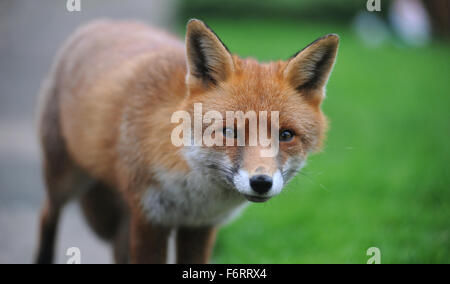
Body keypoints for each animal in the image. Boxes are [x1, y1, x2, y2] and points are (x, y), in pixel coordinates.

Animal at [35, 18, 338, 264]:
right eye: (229, 131)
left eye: (286, 135)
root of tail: (100, 23)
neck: (193, 194)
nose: (261, 182)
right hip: (67, 180)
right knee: (46, 215)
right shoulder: (149, 217)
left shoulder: (199, 226)